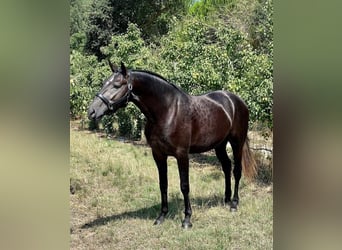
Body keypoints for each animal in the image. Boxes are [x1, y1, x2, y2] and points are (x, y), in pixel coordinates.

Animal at [88, 61, 256, 229]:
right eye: (104, 83)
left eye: (116, 85)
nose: (91, 112)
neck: (167, 111)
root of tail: (236, 100)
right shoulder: (158, 154)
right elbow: (163, 184)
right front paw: (161, 216)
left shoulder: (182, 155)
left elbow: (184, 185)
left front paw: (187, 219)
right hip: (219, 145)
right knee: (226, 166)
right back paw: (226, 199)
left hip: (236, 142)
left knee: (237, 170)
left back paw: (234, 204)